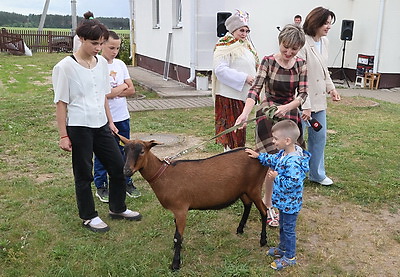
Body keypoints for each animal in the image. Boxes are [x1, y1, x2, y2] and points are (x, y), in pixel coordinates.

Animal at [119, 136, 268, 270]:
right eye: (124, 150)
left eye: (142, 151)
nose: (126, 170)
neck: (162, 175)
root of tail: (257, 153)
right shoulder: (176, 210)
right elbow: (176, 233)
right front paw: (176, 249)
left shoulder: (181, 209)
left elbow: (178, 236)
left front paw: (175, 264)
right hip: (243, 190)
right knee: (248, 204)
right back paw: (240, 229)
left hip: (255, 188)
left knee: (264, 210)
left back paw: (263, 240)